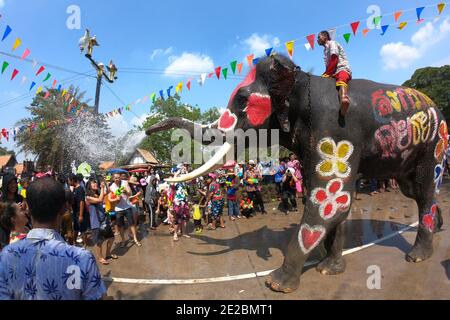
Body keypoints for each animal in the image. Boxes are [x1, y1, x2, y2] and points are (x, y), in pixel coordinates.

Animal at [147, 53, 446, 294]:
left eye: (242, 99)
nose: (148, 130)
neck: (301, 80)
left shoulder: (335, 130)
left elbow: (329, 200)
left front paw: (276, 283)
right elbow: (331, 199)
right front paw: (329, 268)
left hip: (434, 143)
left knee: (425, 190)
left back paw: (417, 255)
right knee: (417, 192)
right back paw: (438, 227)